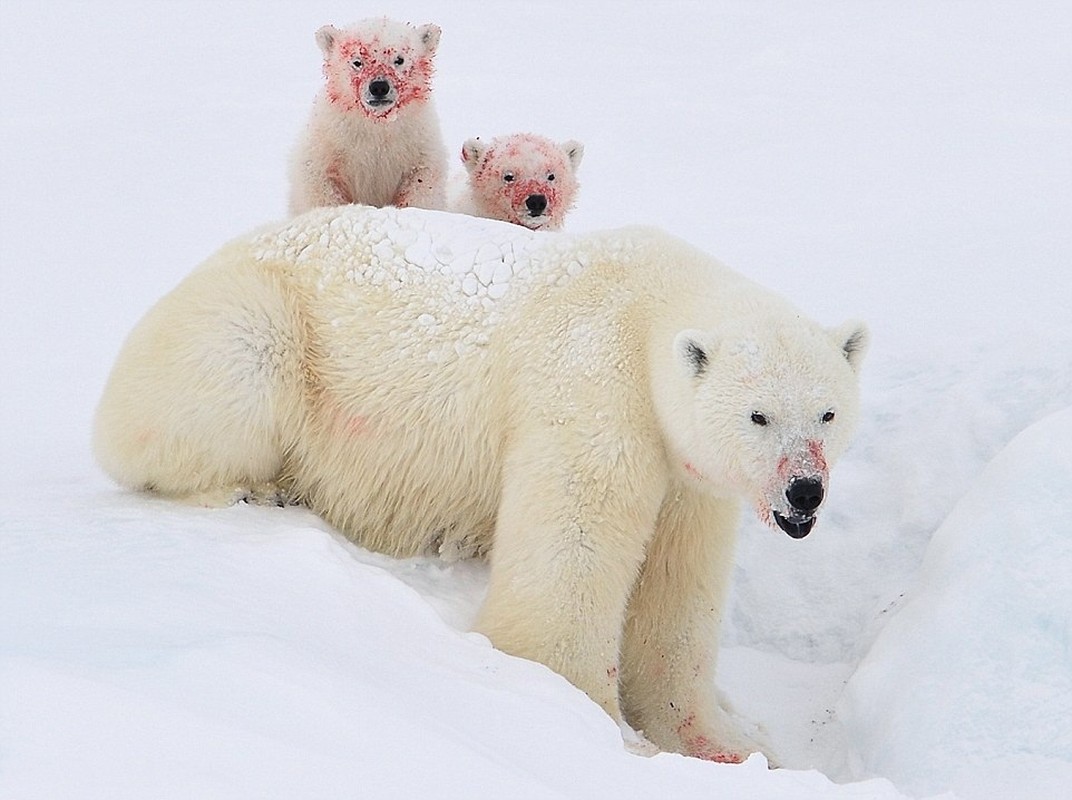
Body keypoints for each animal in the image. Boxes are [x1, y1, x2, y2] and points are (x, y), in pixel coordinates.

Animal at [96, 202, 866, 759]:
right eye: (759, 415)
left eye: (828, 413)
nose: (804, 491)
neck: (649, 304)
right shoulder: (593, 384)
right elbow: (572, 553)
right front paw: (591, 727)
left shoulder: (689, 474)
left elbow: (679, 587)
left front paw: (719, 742)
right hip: (257, 331)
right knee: (227, 378)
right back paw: (246, 488)